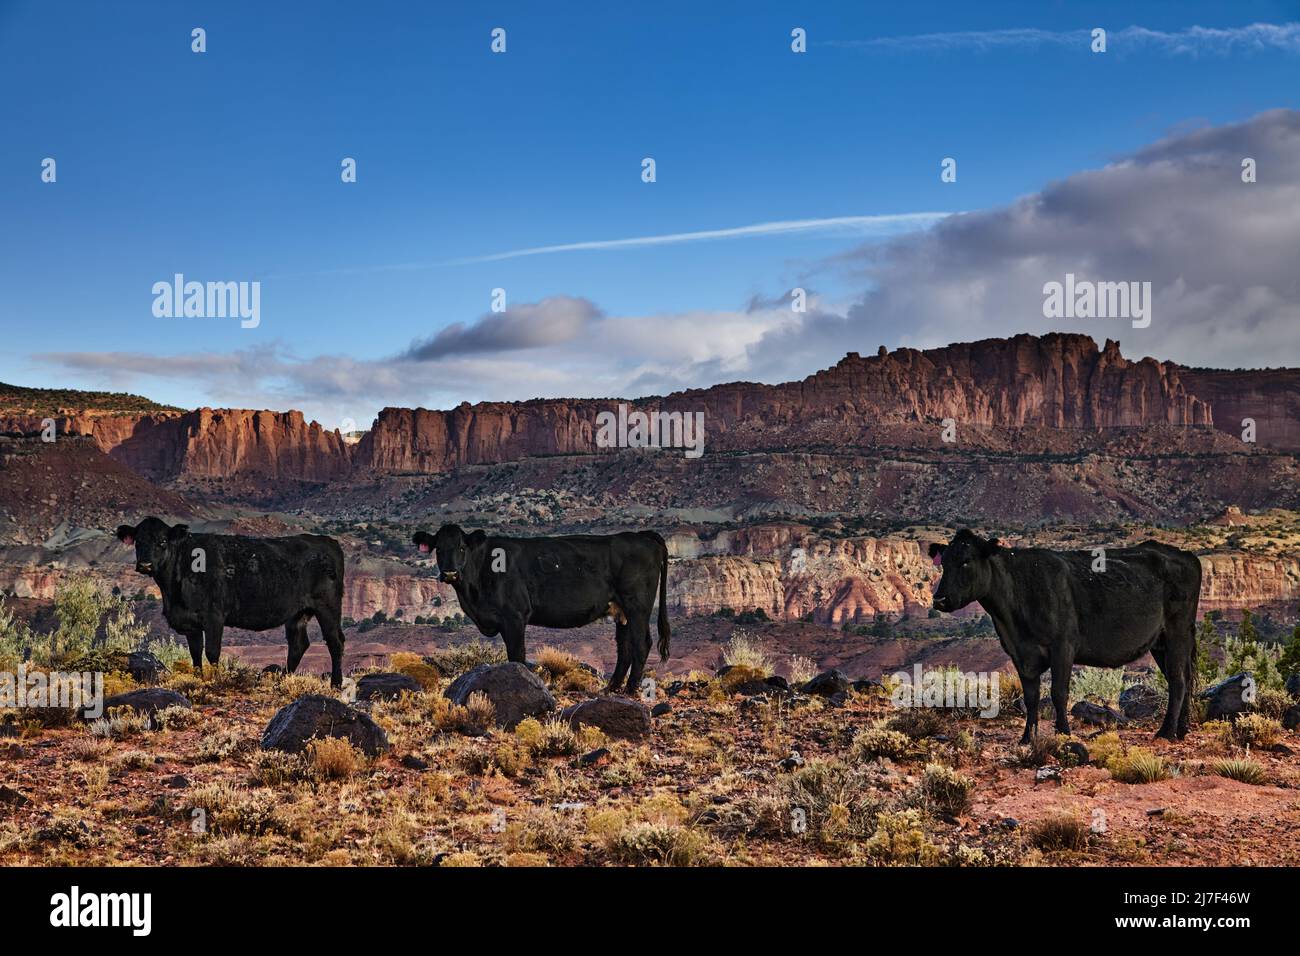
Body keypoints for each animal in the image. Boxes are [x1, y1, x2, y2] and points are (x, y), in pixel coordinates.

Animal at [115, 520, 345, 686]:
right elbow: (195, 653)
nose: (145, 564)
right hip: (297, 613)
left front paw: (215, 680)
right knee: (298, 644)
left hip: (328, 606)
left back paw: (335, 684)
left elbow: (212, 652)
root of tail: (327, 542)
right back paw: (282, 680)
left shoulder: (214, 616)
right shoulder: (190, 622)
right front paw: (197, 679)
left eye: (162, 541)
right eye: (138, 542)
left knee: (335, 641)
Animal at [410, 522, 670, 697]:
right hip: (621, 610)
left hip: (637, 606)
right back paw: (611, 688)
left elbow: (517, 655)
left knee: (641, 643)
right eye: (438, 548)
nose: (450, 573)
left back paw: (630, 689)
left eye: (462, 547)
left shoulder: (514, 617)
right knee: (624, 647)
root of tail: (642, 535)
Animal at [935, 535, 1196, 743]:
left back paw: (1166, 732)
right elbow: (1031, 698)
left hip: (1177, 632)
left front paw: (1063, 733)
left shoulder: (1063, 646)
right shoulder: (1020, 653)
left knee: (1178, 680)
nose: (939, 599)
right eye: (944, 562)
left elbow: (1058, 692)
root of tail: (1183, 553)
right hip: (1161, 642)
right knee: (1186, 677)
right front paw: (1028, 738)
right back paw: (1182, 729)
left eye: (966, 561)